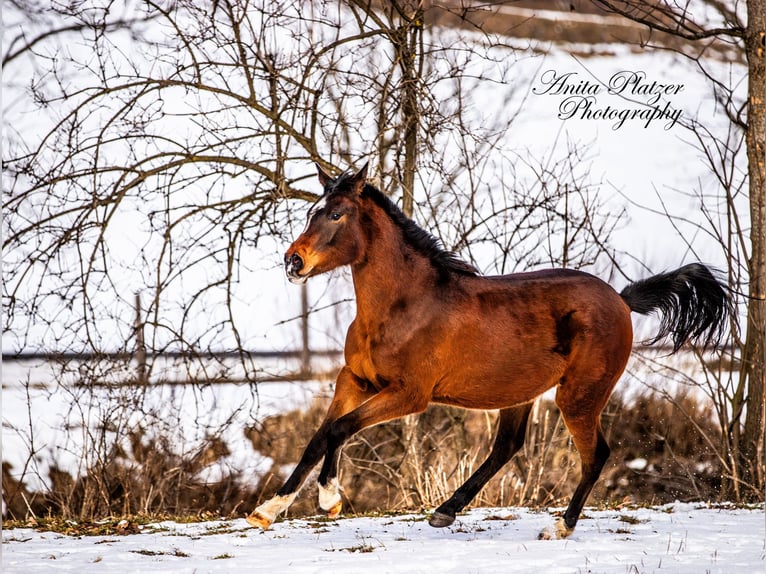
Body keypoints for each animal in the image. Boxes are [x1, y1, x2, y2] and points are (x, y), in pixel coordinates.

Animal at [249, 163, 736, 540]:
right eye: (311, 212)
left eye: (336, 214)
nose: (293, 262)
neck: (404, 305)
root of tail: (620, 299)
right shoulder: (355, 380)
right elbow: (321, 436)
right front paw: (269, 511)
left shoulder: (408, 395)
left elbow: (339, 429)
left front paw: (327, 499)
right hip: (519, 392)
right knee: (507, 446)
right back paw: (446, 511)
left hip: (578, 395)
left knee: (595, 455)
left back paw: (560, 527)